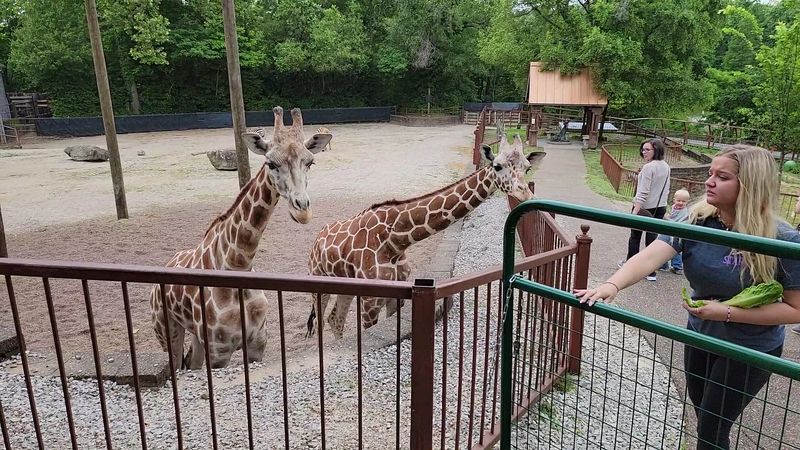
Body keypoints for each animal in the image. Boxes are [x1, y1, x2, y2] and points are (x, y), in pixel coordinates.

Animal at [149, 106, 332, 369]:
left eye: (310, 161)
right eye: (270, 163)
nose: (303, 210)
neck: (239, 263)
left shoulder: (257, 344)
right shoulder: (219, 352)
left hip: (195, 336)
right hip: (167, 331)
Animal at [306, 133, 539, 339]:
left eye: (527, 168)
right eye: (497, 166)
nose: (526, 194)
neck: (395, 242)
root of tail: (316, 240)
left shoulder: (395, 297)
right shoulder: (370, 301)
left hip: (342, 283)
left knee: (335, 320)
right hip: (319, 280)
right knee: (320, 321)